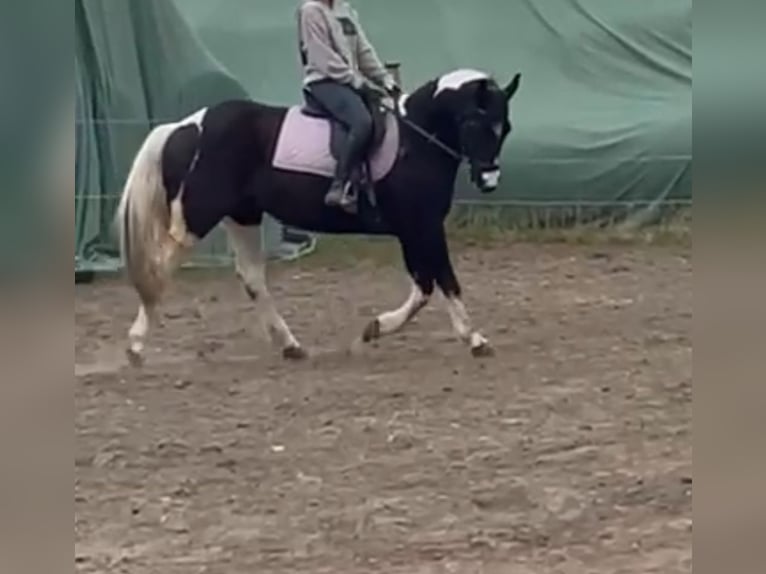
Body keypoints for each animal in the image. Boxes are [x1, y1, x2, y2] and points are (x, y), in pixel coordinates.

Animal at [116, 68, 522, 366]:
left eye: (505, 128)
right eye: (475, 123)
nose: (489, 180)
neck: (416, 139)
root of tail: (183, 126)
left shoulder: (414, 230)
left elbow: (424, 285)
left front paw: (374, 328)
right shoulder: (422, 225)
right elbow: (444, 281)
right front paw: (474, 338)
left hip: (242, 216)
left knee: (252, 279)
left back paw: (291, 345)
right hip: (196, 218)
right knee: (159, 270)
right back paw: (134, 346)